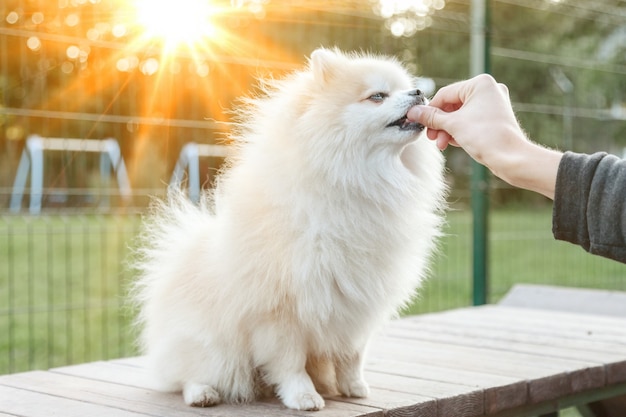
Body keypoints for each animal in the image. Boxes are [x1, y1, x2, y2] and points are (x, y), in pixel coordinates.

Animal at [130, 48, 444, 410]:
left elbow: (352, 355)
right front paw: (304, 396)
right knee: (188, 374)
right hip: (214, 349)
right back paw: (202, 393)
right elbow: (290, 362)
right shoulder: (280, 311)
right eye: (378, 96)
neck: (356, 180)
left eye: (405, 87)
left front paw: (354, 387)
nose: (419, 91)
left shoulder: (357, 304)